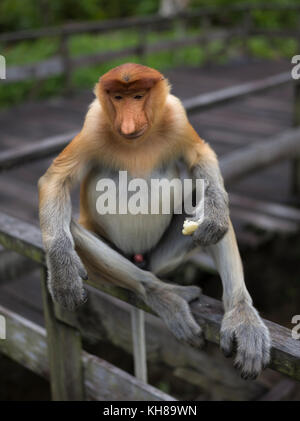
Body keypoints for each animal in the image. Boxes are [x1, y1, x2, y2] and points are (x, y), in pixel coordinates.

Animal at [38, 63, 270, 380]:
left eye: (137, 96)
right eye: (118, 98)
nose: (127, 124)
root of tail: (140, 259)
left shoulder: (176, 115)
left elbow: (200, 155)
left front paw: (215, 216)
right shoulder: (94, 123)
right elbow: (56, 180)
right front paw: (63, 278)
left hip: (162, 258)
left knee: (204, 203)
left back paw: (241, 315)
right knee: (74, 229)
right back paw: (161, 293)